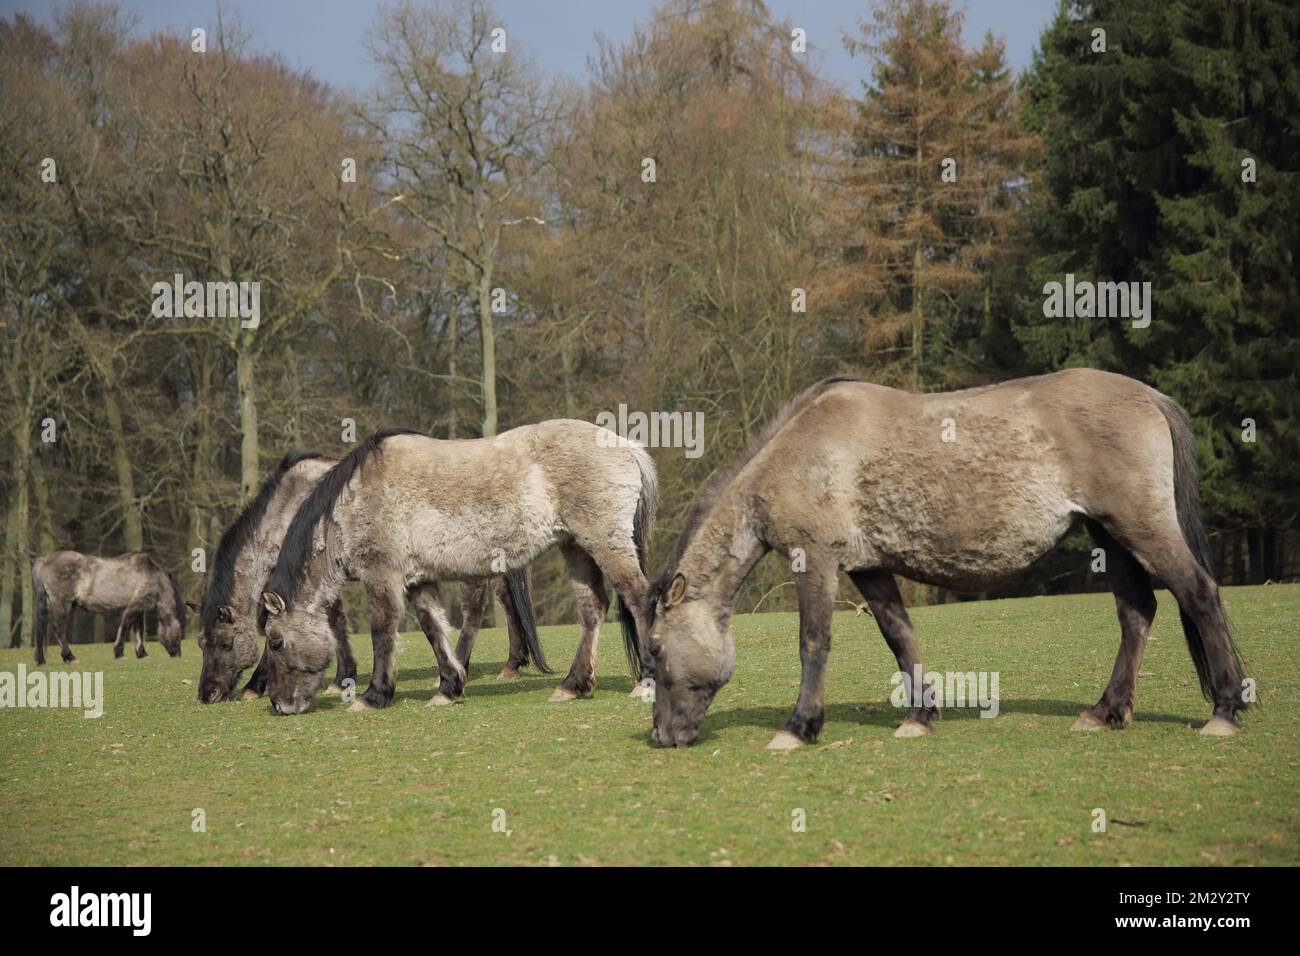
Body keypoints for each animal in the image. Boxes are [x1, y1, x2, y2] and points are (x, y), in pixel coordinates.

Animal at [191, 447, 543, 702]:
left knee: (474, 610)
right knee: (507, 603)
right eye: (201, 645)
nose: (207, 694)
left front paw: (259, 685)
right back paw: (509, 665)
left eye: (225, 643)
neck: (287, 508)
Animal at [260, 421, 655, 712]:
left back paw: (645, 683)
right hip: (576, 548)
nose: (279, 705)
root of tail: (627, 447)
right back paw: (573, 684)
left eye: (276, 642)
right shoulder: (416, 582)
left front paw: (374, 695)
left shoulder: (382, 577)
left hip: (605, 543)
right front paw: (448, 687)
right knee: (593, 610)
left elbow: (383, 631)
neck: (355, 499)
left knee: (638, 599)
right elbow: (433, 629)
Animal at [647, 369, 1248, 749]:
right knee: (1136, 612)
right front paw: (919, 716)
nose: (661, 736)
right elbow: (899, 636)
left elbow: (813, 643)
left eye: (654, 651)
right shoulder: (868, 567)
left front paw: (799, 728)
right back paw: (1105, 712)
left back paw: (1223, 711)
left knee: (1199, 594)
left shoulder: (813, 560)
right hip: (1110, 534)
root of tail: (1150, 396)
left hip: (1140, 526)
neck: (800, 452)